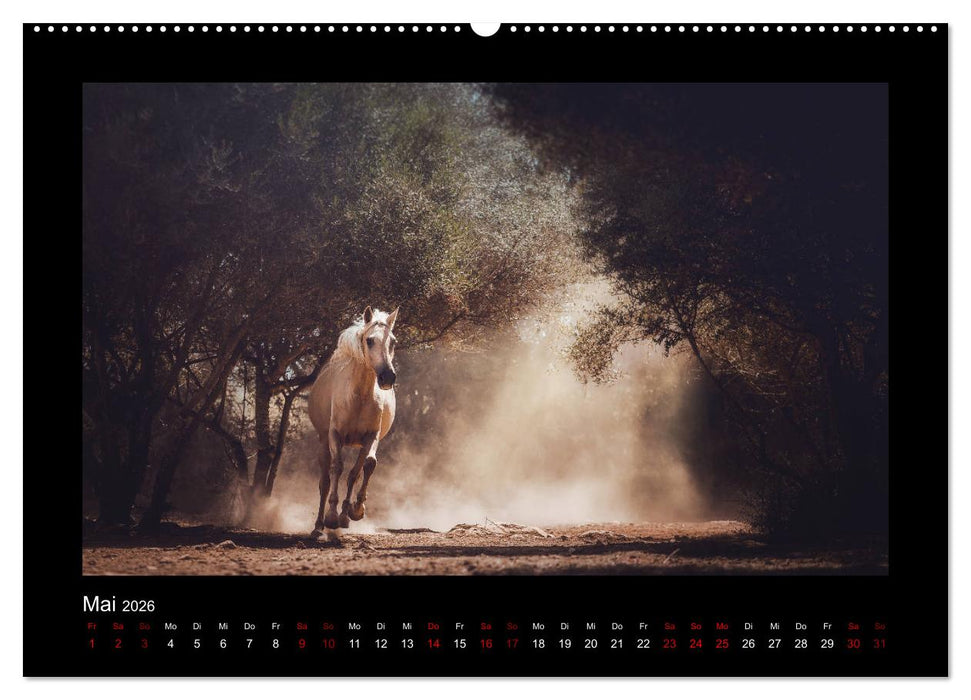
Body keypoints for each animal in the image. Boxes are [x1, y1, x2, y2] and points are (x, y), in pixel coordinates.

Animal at [307, 306, 398, 539]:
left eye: (393, 341)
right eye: (370, 340)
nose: (387, 377)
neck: (359, 397)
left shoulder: (371, 436)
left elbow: (362, 468)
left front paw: (353, 511)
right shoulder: (335, 436)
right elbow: (337, 468)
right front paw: (332, 516)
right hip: (323, 441)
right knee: (325, 481)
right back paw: (318, 526)